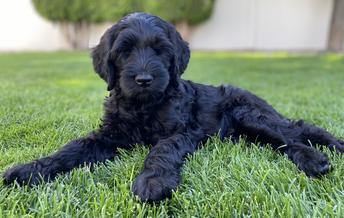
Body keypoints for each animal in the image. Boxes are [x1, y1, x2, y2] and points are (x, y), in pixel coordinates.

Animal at [3, 11, 344, 203]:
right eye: (125, 50)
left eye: (159, 50)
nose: (143, 79)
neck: (143, 106)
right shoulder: (108, 134)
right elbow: (71, 149)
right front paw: (29, 169)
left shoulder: (182, 131)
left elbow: (161, 151)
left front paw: (153, 182)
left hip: (250, 113)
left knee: (294, 131)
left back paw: (319, 156)